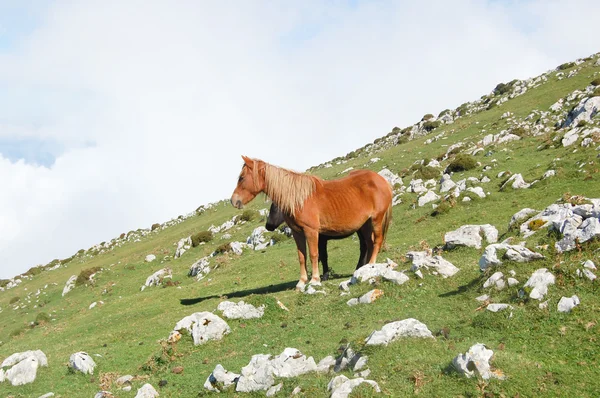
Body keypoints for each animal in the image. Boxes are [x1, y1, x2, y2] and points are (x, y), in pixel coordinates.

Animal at [230, 155, 394, 290]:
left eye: (242, 178)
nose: (233, 201)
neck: (299, 199)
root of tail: (382, 181)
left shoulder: (312, 232)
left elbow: (315, 255)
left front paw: (315, 280)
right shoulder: (297, 233)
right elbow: (302, 257)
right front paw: (301, 282)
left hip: (376, 220)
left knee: (377, 241)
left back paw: (371, 265)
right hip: (365, 225)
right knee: (369, 244)